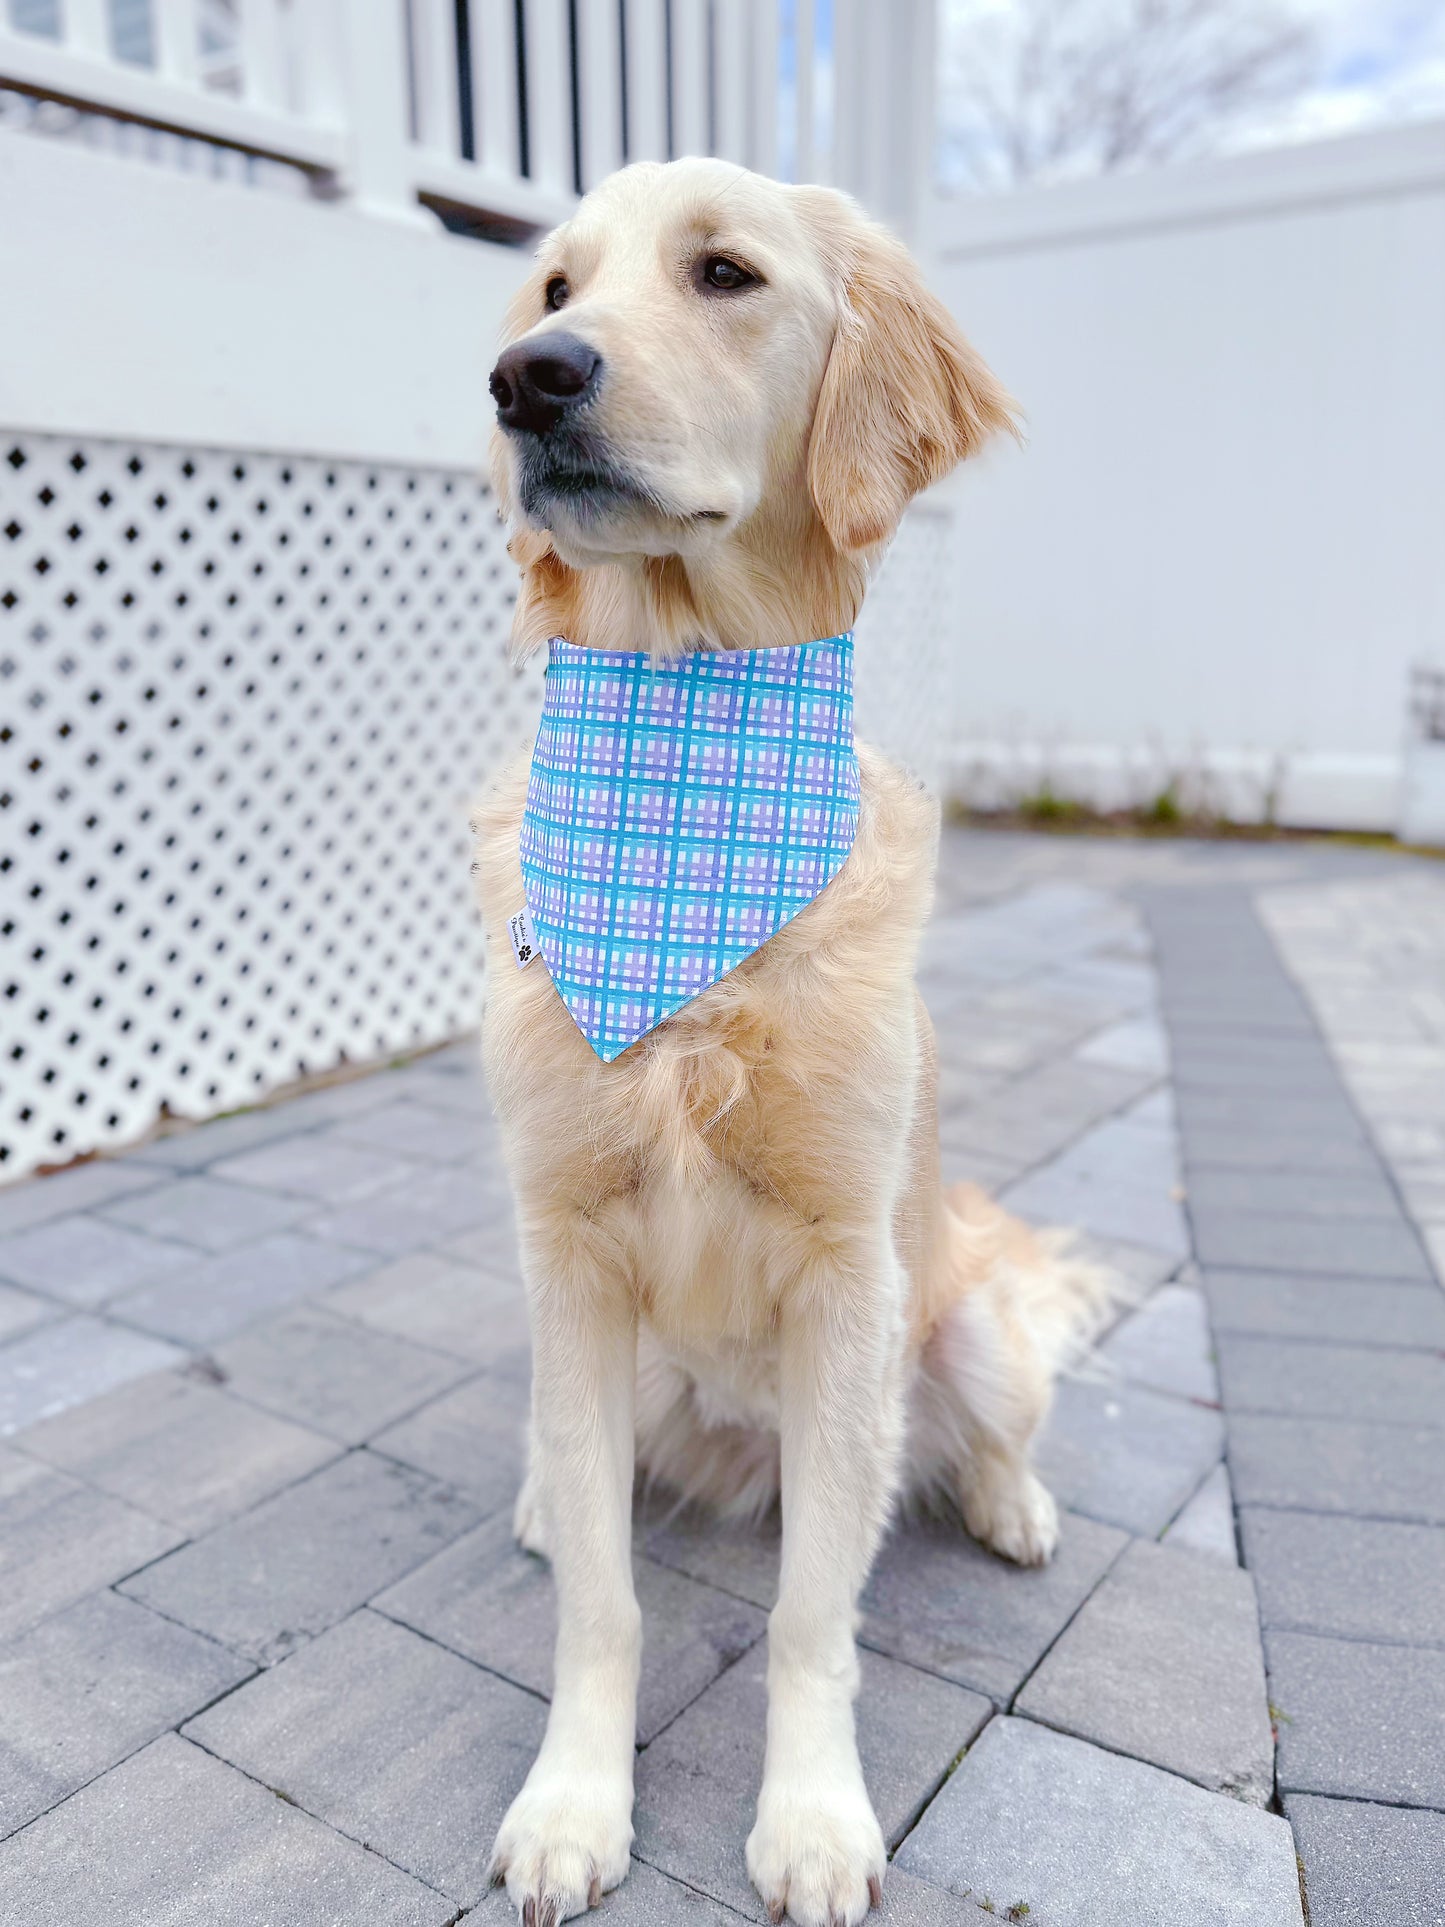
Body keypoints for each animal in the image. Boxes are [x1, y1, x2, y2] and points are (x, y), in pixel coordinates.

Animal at [481, 158, 1117, 1919]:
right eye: (556, 285)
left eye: (724, 273)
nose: (527, 380)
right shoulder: (568, 1254)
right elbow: (605, 1601)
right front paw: (574, 1799)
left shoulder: (849, 1280)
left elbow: (810, 1617)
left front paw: (818, 1818)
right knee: (573, 1470)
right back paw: (544, 1495)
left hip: (955, 1322)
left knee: (983, 1425)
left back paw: (1016, 1501)